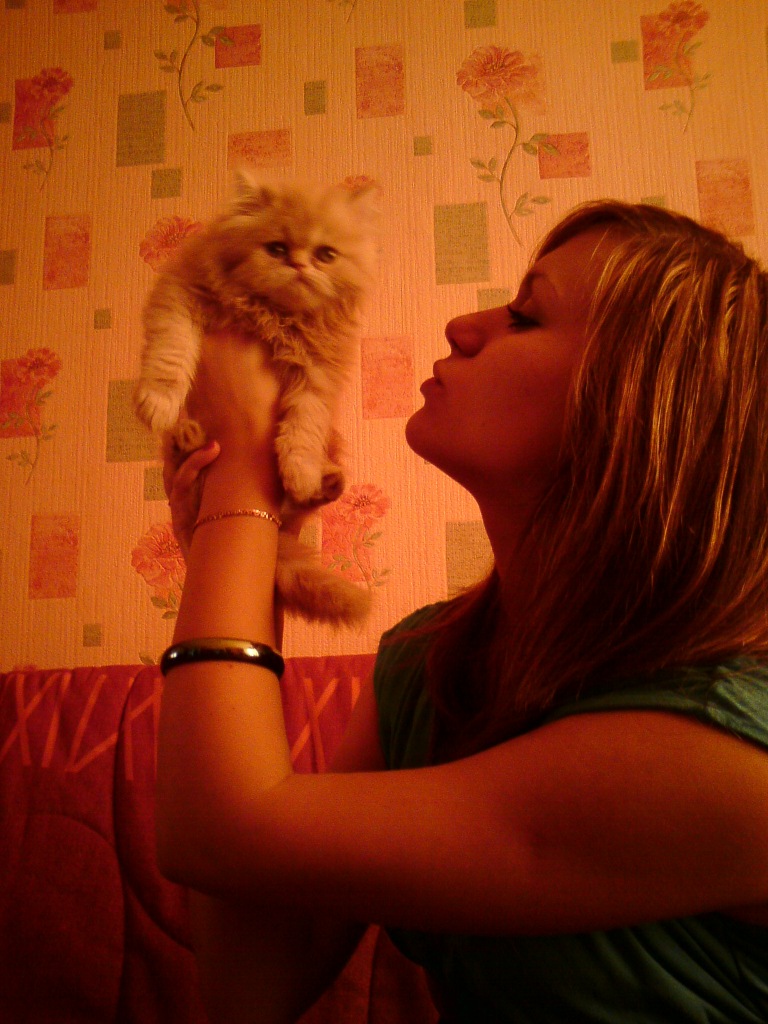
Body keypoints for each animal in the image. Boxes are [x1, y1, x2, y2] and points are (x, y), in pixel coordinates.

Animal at [134, 170, 379, 626]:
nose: (298, 265)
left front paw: (300, 470)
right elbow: (171, 352)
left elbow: (303, 427)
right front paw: (157, 401)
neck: (276, 317)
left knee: (296, 508)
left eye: (326, 254)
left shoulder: (317, 376)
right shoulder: (180, 294)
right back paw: (189, 434)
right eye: (276, 249)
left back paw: (324, 483)